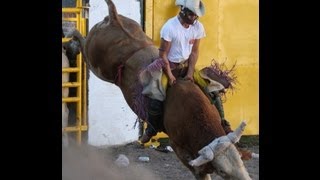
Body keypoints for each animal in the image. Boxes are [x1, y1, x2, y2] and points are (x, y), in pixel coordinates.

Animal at [69, 0, 258, 179]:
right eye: (222, 171)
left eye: (241, 161)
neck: (193, 112)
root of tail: (115, 20)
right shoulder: (179, 148)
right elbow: (200, 171)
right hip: (96, 62)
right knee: (83, 43)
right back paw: (71, 35)